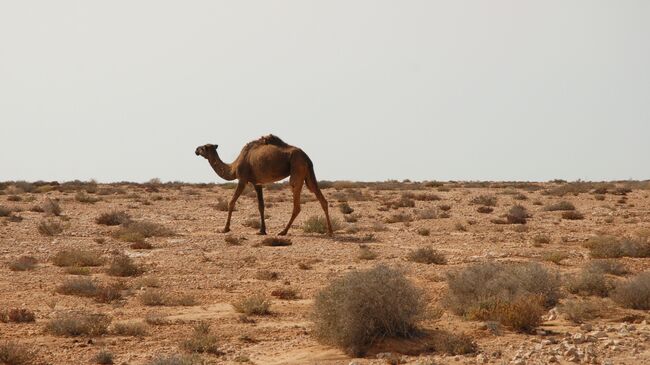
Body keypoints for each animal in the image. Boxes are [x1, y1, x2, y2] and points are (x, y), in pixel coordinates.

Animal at [195, 135, 332, 235]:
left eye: (203, 147)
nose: (196, 149)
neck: (233, 167)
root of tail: (306, 157)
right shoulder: (257, 183)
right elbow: (261, 206)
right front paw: (262, 230)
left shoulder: (242, 179)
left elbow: (231, 202)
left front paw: (225, 229)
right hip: (308, 172)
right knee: (321, 198)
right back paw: (330, 231)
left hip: (297, 166)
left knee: (296, 202)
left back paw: (283, 231)